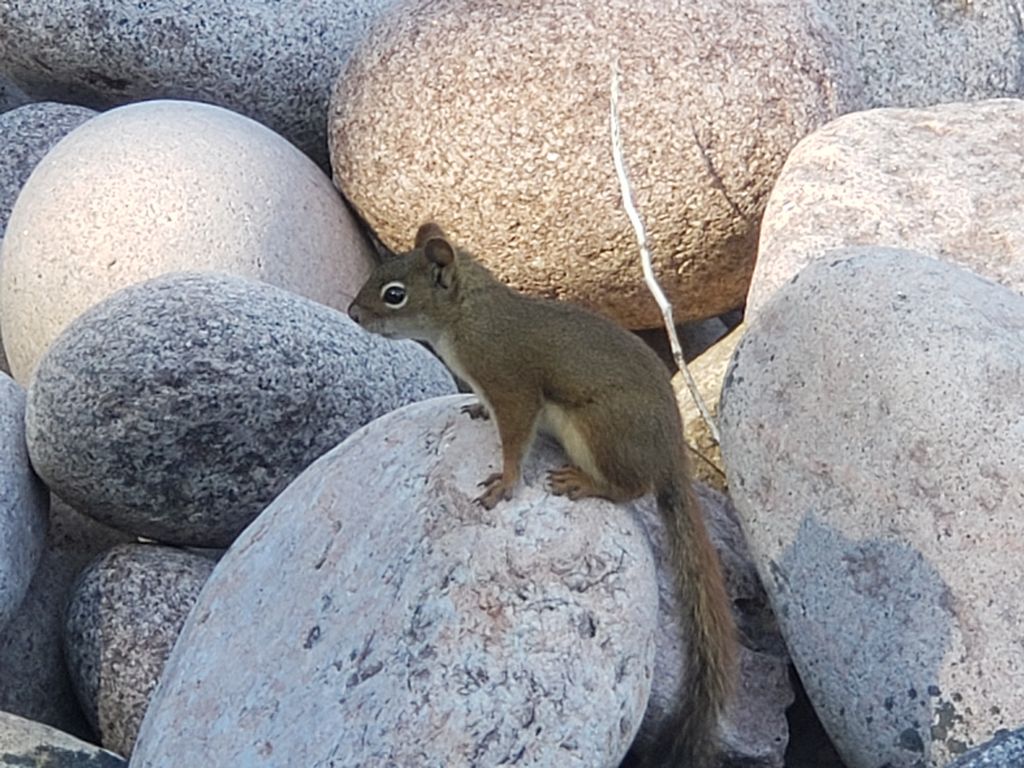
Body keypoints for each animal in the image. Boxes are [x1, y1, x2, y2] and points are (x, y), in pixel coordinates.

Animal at [348, 222, 736, 767]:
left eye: (394, 294)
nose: (351, 313)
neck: (467, 314)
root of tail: (671, 458)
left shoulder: (509, 384)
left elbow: (515, 437)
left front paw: (504, 482)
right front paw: (476, 411)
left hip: (599, 428)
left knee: (631, 487)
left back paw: (585, 483)